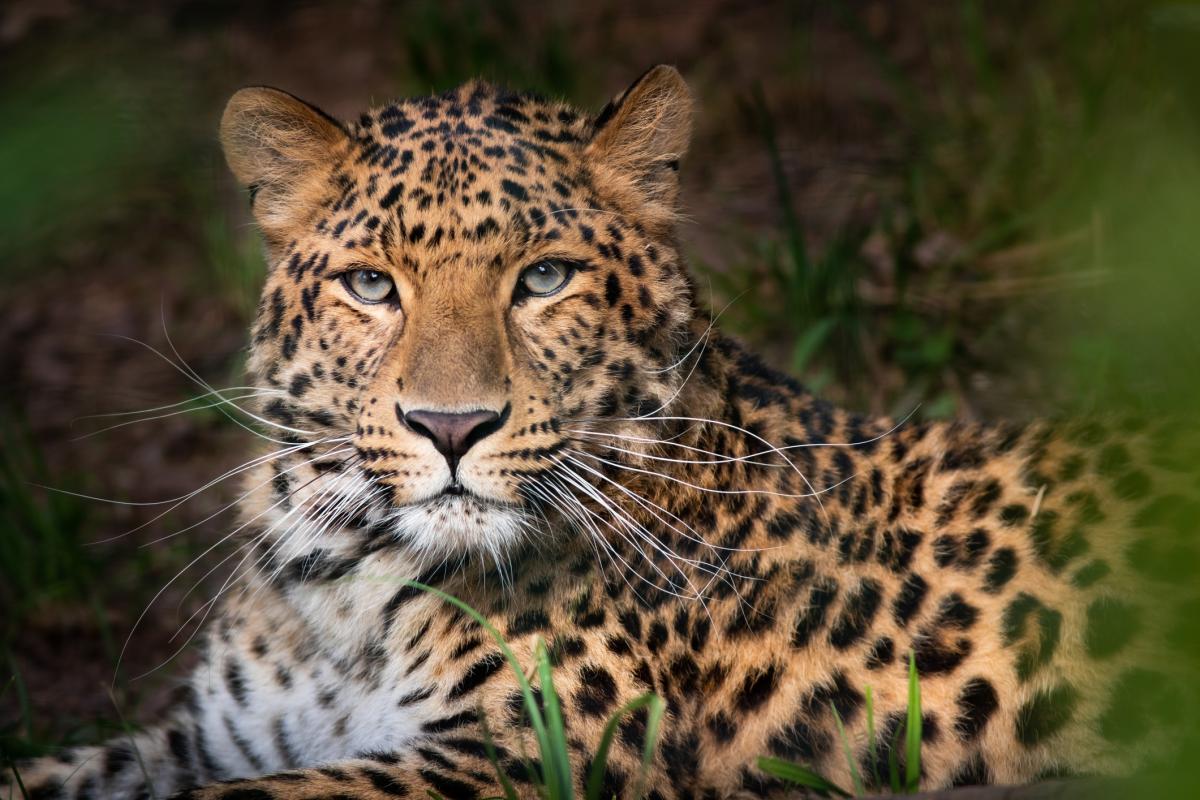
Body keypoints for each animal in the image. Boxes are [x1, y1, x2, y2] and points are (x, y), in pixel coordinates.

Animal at [6, 64, 1199, 800]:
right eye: (370, 285)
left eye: (543, 278)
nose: (450, 425)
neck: (338, 581)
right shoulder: (208, 734)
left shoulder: (522, 756)